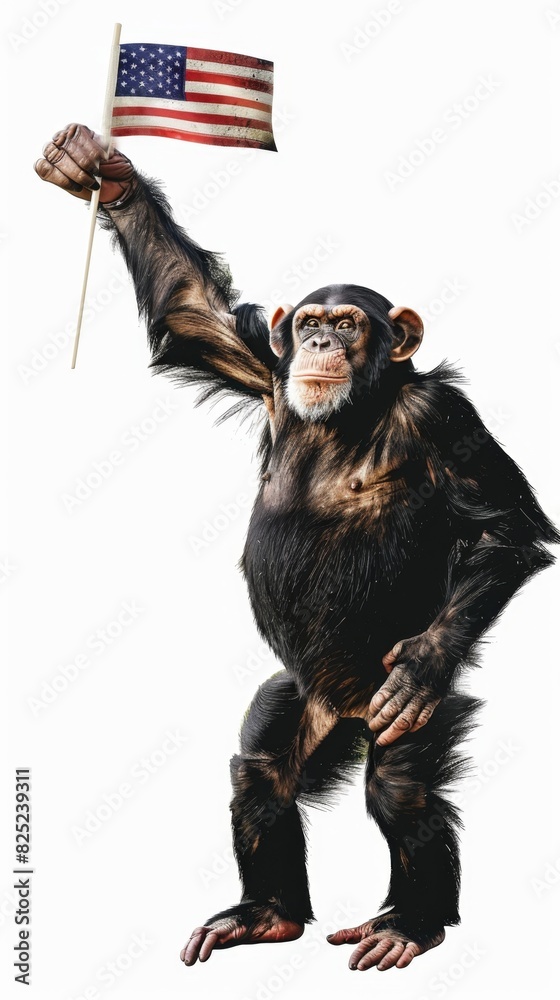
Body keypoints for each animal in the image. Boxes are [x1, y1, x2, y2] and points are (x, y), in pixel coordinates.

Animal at [35, 124, 558, 973]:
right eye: (312, 319)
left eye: (350, 323)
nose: (317, 339)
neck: (355, 409)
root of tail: (345, 710)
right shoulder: (265, 369)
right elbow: (192, 309)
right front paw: (97, 169)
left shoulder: (445, 415)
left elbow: (507, 530)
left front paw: (420, 662)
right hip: (300, 700)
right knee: (261, 773)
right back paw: (268, 914)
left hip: (393, 713)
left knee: (401, 787)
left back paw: (407, 924)